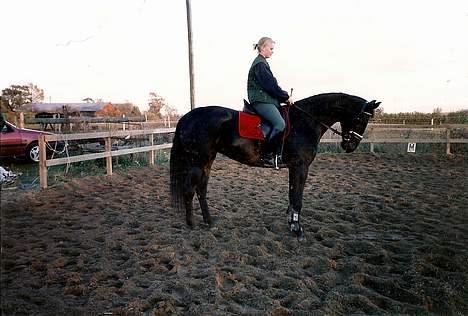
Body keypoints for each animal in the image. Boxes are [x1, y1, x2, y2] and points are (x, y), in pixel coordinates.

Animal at [170, 92, 378, 239]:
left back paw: (210, 221)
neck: (306, 122)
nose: (350, 146)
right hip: (198, 162)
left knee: (201, 190)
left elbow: (293, 194)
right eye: (361, 118)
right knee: (189, 190)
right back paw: (191, 224)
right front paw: (297, 229)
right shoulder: (300, 166)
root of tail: (187, 117)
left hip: (207, 161)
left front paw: (291, 223)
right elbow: (297, 197)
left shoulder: (297, 168)